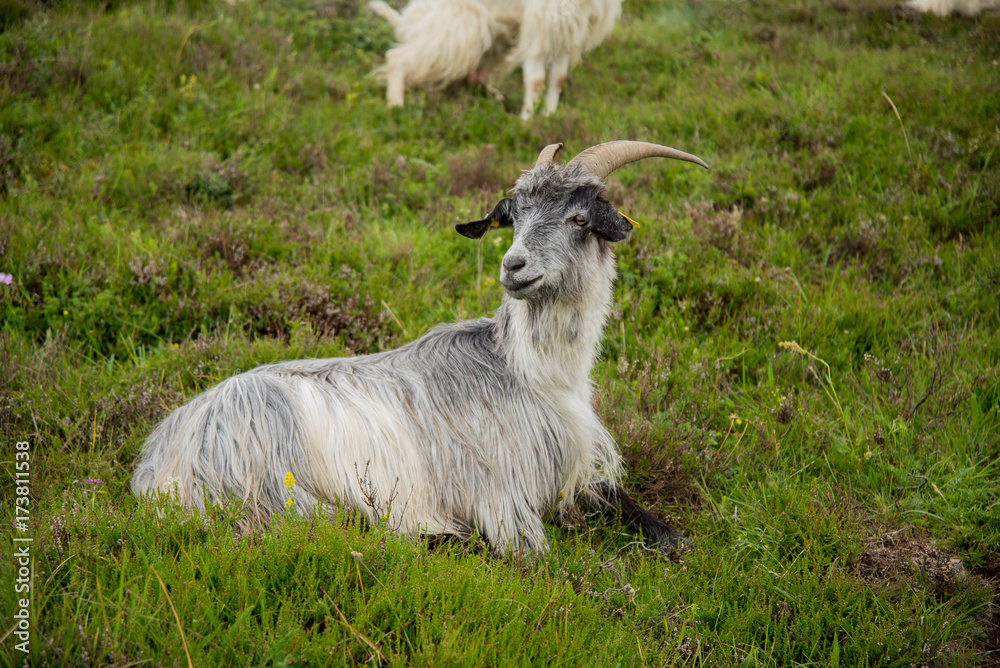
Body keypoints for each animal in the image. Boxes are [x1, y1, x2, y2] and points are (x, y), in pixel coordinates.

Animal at [131, 141, 708, 556]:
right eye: (516, 218)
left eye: (580, 219)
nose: (513, 266)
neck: (531, 372)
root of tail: (160, 468)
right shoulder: (500, 497)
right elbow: (535, 556)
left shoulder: (575, 472)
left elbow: (626, 504)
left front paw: (677, 539)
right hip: (277, 479)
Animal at [368, 0, 621, 120]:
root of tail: (409, 20)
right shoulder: (537, 31)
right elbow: (536, 81)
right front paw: (527, 120)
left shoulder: (565, 35)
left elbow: (557, 80)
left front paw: (549, 116)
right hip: (457, 30)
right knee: (397, 57)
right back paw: (396, 105)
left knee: (473, 78)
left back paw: (495, 97)